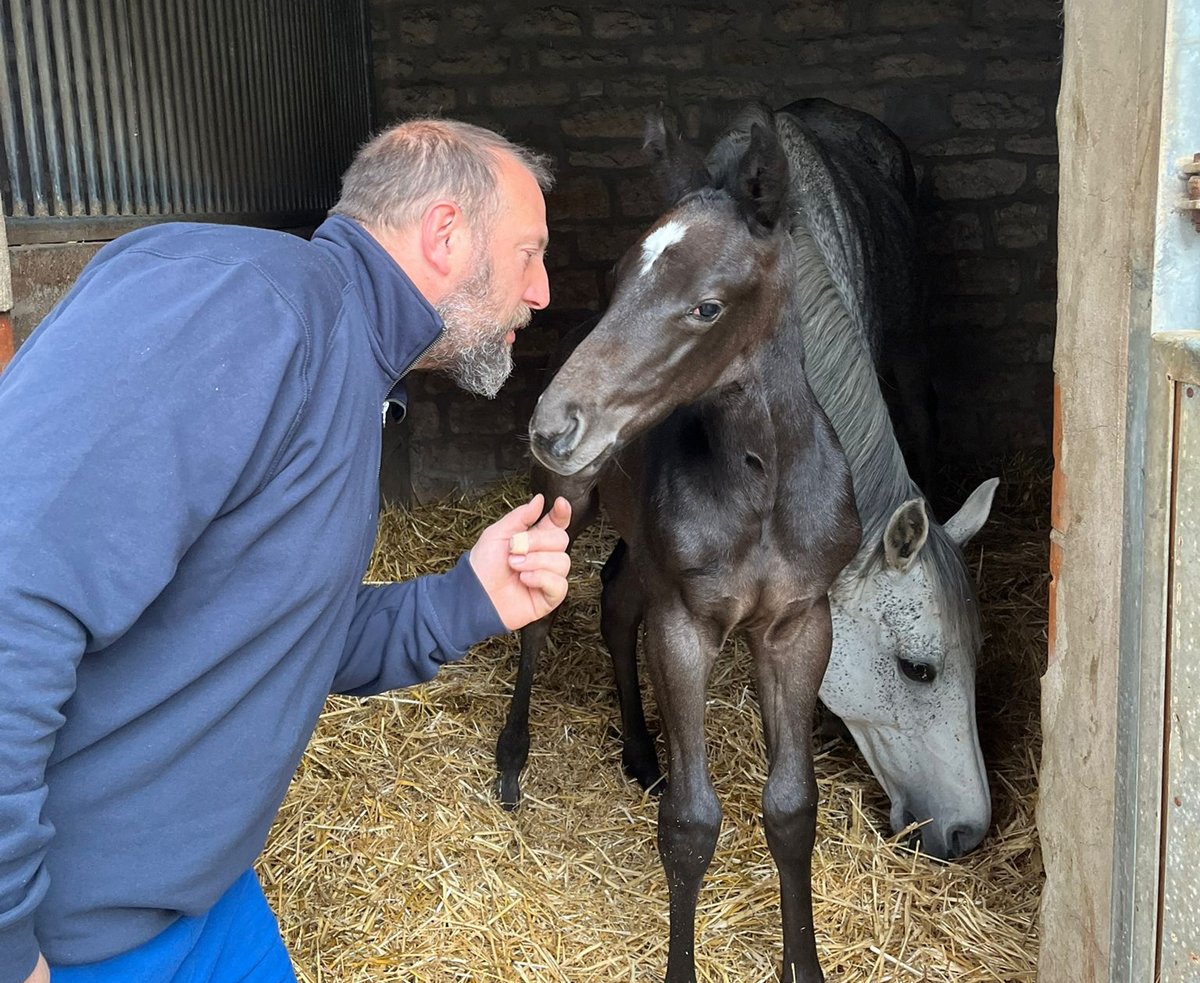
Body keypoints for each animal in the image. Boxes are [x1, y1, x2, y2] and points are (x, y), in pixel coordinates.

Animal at [502, 109, 863, 983]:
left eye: (708, 306)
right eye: (612, 281)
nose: (554, 424)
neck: (762, 483)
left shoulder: (800, 622)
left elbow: (793, 807)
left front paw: (804, 966)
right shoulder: (686, 624)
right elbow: (691, 824)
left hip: (641, 546)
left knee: (614, 598)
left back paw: (639, 752)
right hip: (564, 502)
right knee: (540, 616)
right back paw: (514, 756)